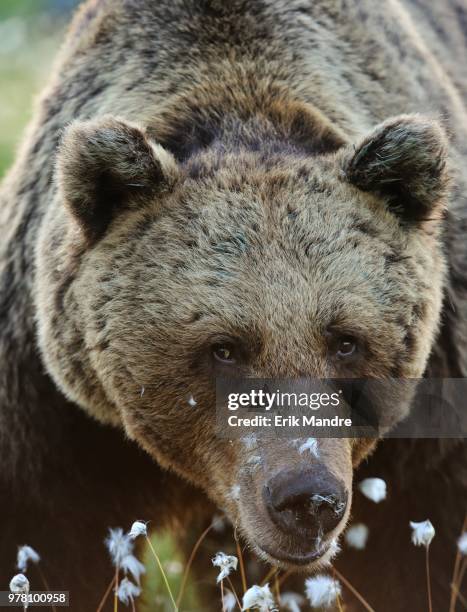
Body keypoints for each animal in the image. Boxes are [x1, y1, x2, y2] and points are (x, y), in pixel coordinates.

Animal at [0, 0, 466, 608]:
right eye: (224, 347)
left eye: (346, 340)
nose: (308, 500)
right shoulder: (52, 417)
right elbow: (41, 537)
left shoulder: (434, 410)